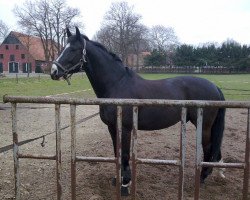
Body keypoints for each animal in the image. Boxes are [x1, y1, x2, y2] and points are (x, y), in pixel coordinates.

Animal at [49, 27, 226, 192]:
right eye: (62, 47)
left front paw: (125, 183)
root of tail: (214, 86)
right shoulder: (112, 127)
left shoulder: (126, 128)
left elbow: (125, 154)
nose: (53, 71)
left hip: (204, 125)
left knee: (208, 147)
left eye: (73, 49)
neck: (117, 84)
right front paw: (118, 179)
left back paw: (202, 177)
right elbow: (117, 153)